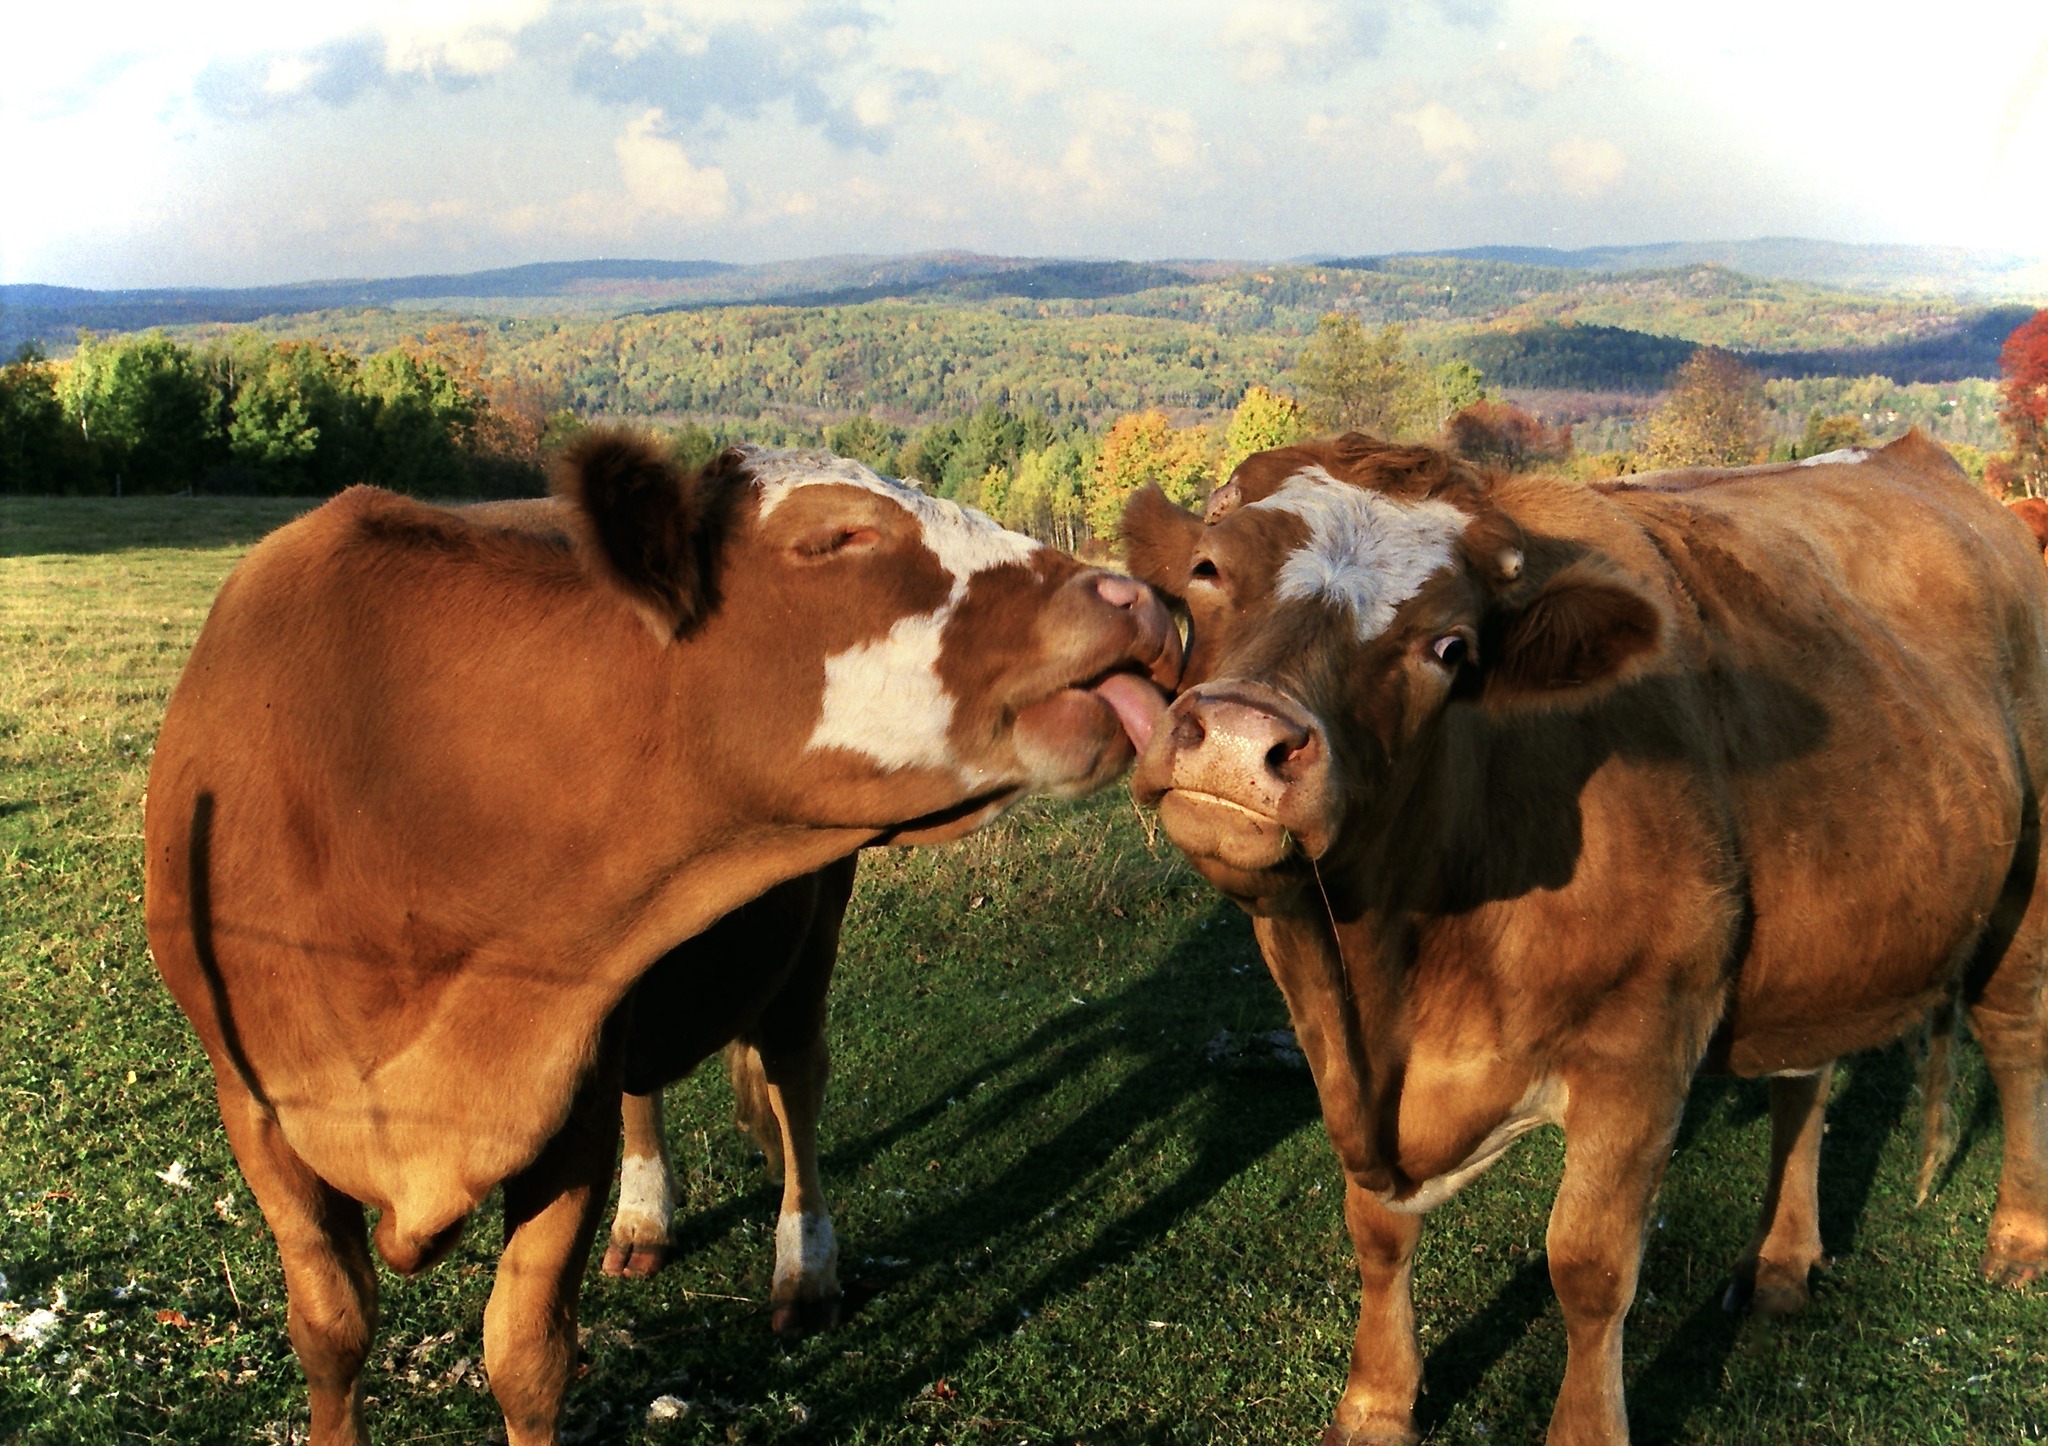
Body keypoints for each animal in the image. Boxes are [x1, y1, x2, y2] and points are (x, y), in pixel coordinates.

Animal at [143, 431, 1178, 1446]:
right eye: (837, 537)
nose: (1139, 599)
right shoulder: (256, 1109)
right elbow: (331, 1331)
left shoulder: (570, 1094)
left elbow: (526, 1356)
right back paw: (645, 1220)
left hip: (809, 933)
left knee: (795, 1078)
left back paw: (805, 1268)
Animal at [1120, 429, 2048, 1445]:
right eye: (1209, 570)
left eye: (1450, 647)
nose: (1240, 739)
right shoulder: (1345, 1070)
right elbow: (1377, 1230)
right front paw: (1375, 1402)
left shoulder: (1641, 1046)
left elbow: (1589, 1267)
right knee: (1806, 1078)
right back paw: (1780, 1261)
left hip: (2026, 894)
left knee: (2017, 1042)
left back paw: (2019, 1238)